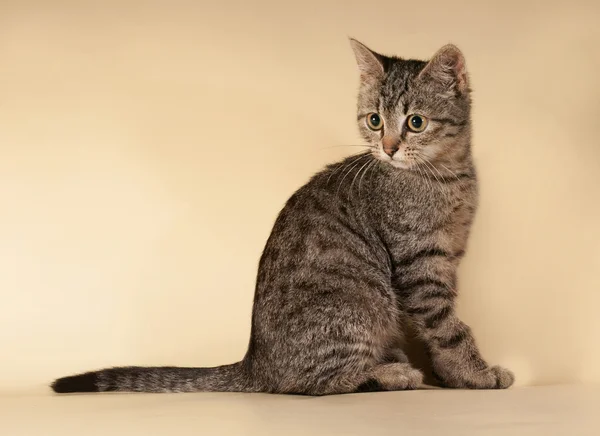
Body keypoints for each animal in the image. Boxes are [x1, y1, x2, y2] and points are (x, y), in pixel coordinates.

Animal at [50, 39, 516, 396]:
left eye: (415, 122)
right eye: (374, 120)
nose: (388, 147)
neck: (446, 177)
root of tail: (255, 361)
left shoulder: (447, 259)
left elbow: (445, 328)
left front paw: (453, 375)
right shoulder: (421, 265)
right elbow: (449, 328)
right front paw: (475, 374)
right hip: (356, 307)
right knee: (310, 384)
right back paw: (392, 374)